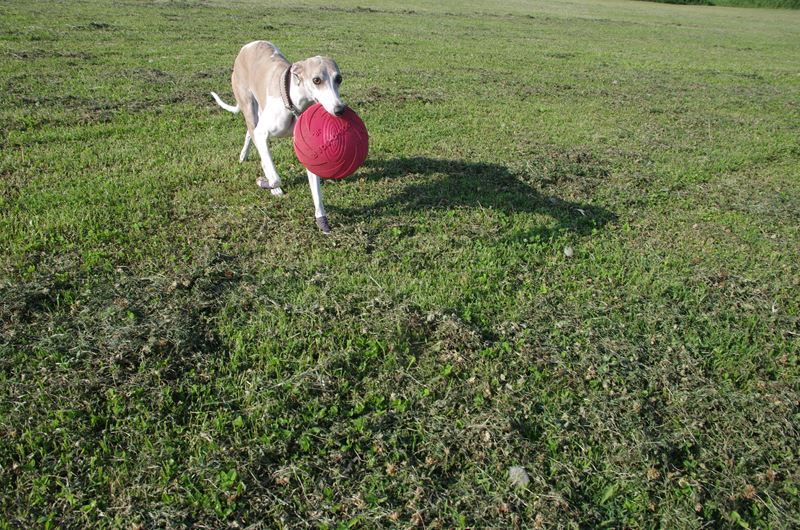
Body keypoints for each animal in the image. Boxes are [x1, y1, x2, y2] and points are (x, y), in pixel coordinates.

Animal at [211, 41, 345, 233]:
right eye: (316, 80)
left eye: (339, 79)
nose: (340, 109)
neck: (293, 103)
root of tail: (248, 46)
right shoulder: (262, 133)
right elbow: (275, 178)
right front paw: (264, 183)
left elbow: (316, 190)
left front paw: (322, 219)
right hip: (248, 106)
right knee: (256, 140)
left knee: (250, 133)